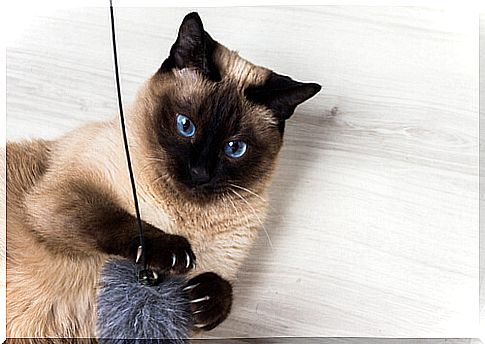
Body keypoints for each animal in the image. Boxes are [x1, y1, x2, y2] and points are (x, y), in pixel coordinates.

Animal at [5, 11, 322, 342]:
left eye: (235, 148)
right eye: (185, 126)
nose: (199, 173)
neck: (185, 217)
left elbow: (224, 290)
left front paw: (202, 298)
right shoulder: (61, 198)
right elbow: (116, 221)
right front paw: (176, 254)